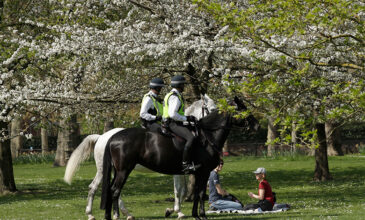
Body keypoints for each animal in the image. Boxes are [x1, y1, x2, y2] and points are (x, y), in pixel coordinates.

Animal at [63, 94, 215, 220]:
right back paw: (96, 214)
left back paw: (121, 214)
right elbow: (179, 191)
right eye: (212, 109)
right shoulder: (178, 171)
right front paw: (177, 211)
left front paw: (172, 211)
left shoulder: (181, 171)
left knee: (111, 190)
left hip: (114, 170)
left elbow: (182, 191)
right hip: (107, 170)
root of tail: (102, 137)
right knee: (98, 188)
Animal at [100, 97, 258, 219]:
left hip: (118, 171)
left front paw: (193, 214)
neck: (207, 136)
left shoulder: (195, 173)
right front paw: (200, 215)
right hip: (124, 170)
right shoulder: (204, 171)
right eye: (242, 109)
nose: (256, 124)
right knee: (115, 191)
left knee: (110, 190)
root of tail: (113, 136)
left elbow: (193, 193)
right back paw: (117, 215)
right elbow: (197, 193)